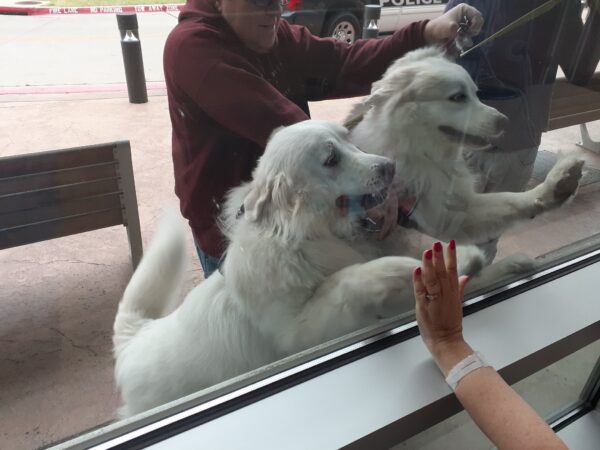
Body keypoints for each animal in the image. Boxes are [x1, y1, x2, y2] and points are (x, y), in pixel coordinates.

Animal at [115, 120, 478, 418]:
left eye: (350, 141)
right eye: (331, 159)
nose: (390, 166)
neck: (304, 240)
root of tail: (132, 338)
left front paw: (459, 258)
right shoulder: (301, 330)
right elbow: (348, 280)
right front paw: (397, 268)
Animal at [344, 47, 584, 255]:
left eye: (477, 94)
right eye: (458, 97)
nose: (505, 122)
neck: (420, 152)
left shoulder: (453, 213)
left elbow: (513, 199)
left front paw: (558, 186)